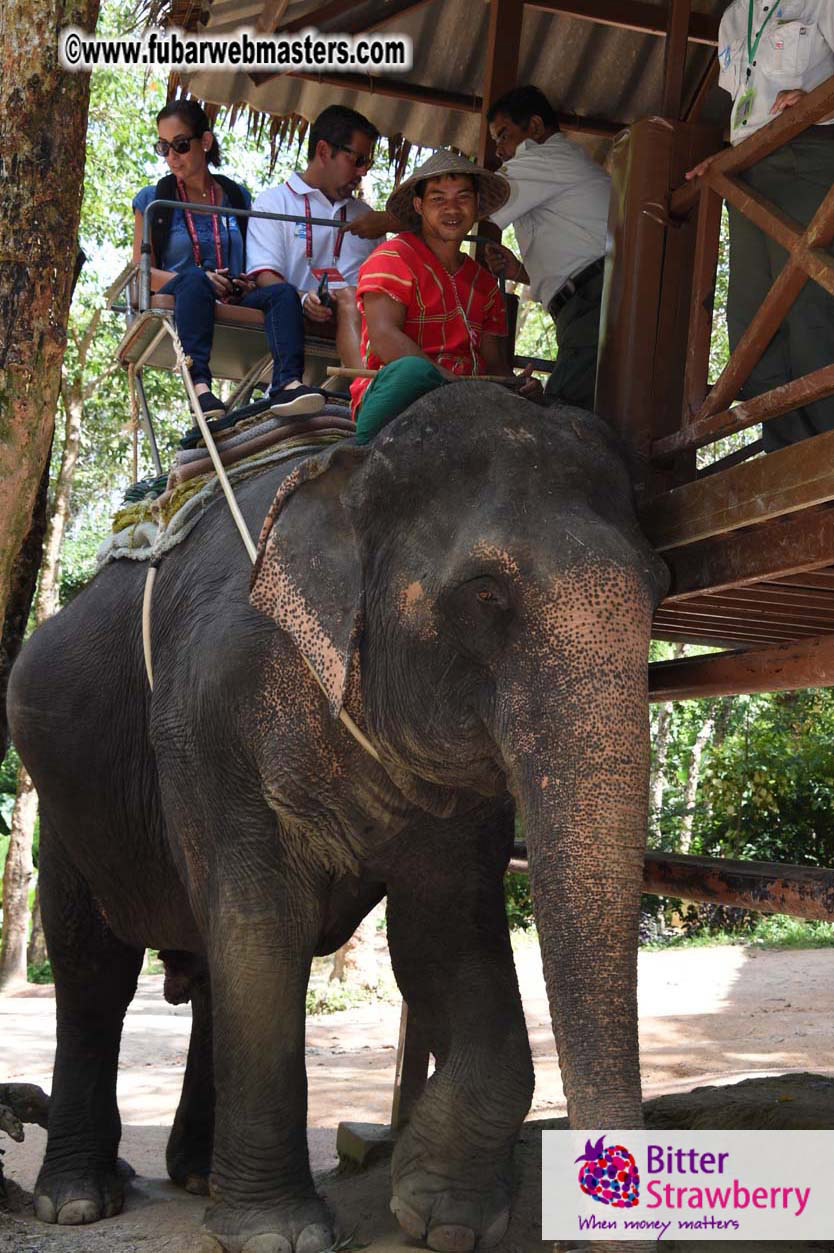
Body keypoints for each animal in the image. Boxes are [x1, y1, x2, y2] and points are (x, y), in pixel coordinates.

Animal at [7, 382, 668, 1253]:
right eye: (486, 595)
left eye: (659, 589)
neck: (353, 467)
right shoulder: (209, 716)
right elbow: (263, 926)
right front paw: (277, 1235)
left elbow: (442, 933)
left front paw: (438, 1213)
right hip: (67, 804)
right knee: (95, 970)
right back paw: (80, 1199)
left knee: (205, 968)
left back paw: (196, 1175)